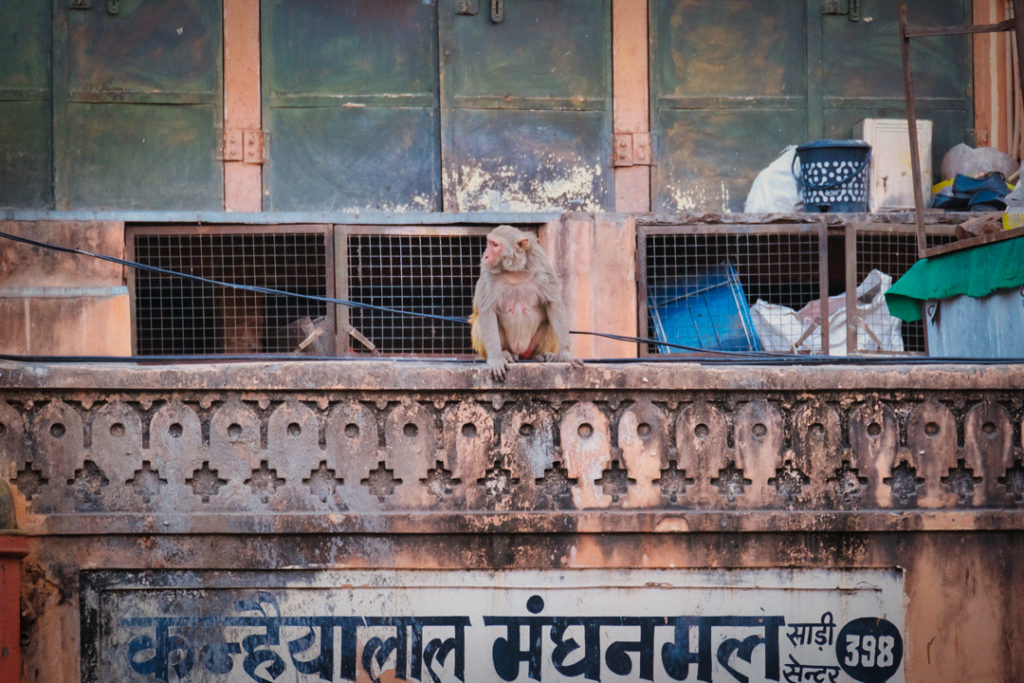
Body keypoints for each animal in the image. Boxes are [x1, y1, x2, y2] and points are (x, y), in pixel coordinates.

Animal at [468, 227, 581, 382]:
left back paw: (543, 354)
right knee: (482, 321)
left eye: (495, 245)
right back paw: (505, 354)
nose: (485, 256)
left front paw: (566, 354)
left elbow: (553, 304)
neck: (515, 270)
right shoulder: (487, 272)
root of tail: (520, 353)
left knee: (550, 320)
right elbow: (487, 311)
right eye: (489, 243)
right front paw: (496, 358)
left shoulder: (541, 264)